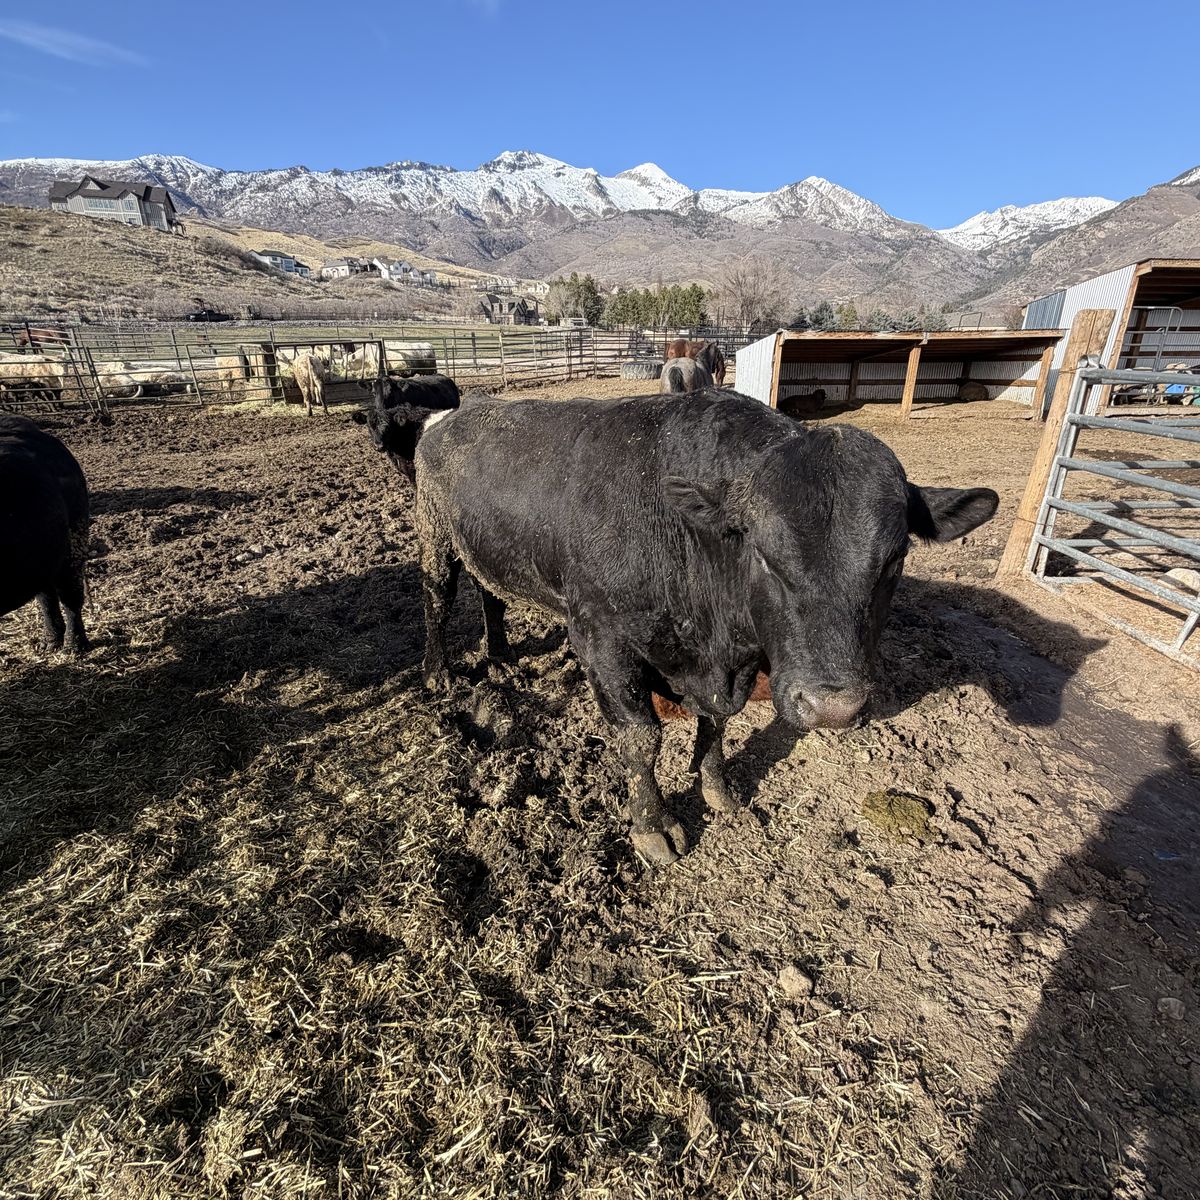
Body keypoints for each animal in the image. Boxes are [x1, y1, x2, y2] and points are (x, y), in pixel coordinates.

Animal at [413, 389, 997, 865]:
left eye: (896, 559)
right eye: (763, 553)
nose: (833, 707)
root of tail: (460, 410)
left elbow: (716, 723)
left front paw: (719, 790)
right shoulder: (600, 638)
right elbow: (641, 738)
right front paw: (652, 827)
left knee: (491, 598)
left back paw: (499, 655)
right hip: (434, 535)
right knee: (437, 598)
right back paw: (439, 673)